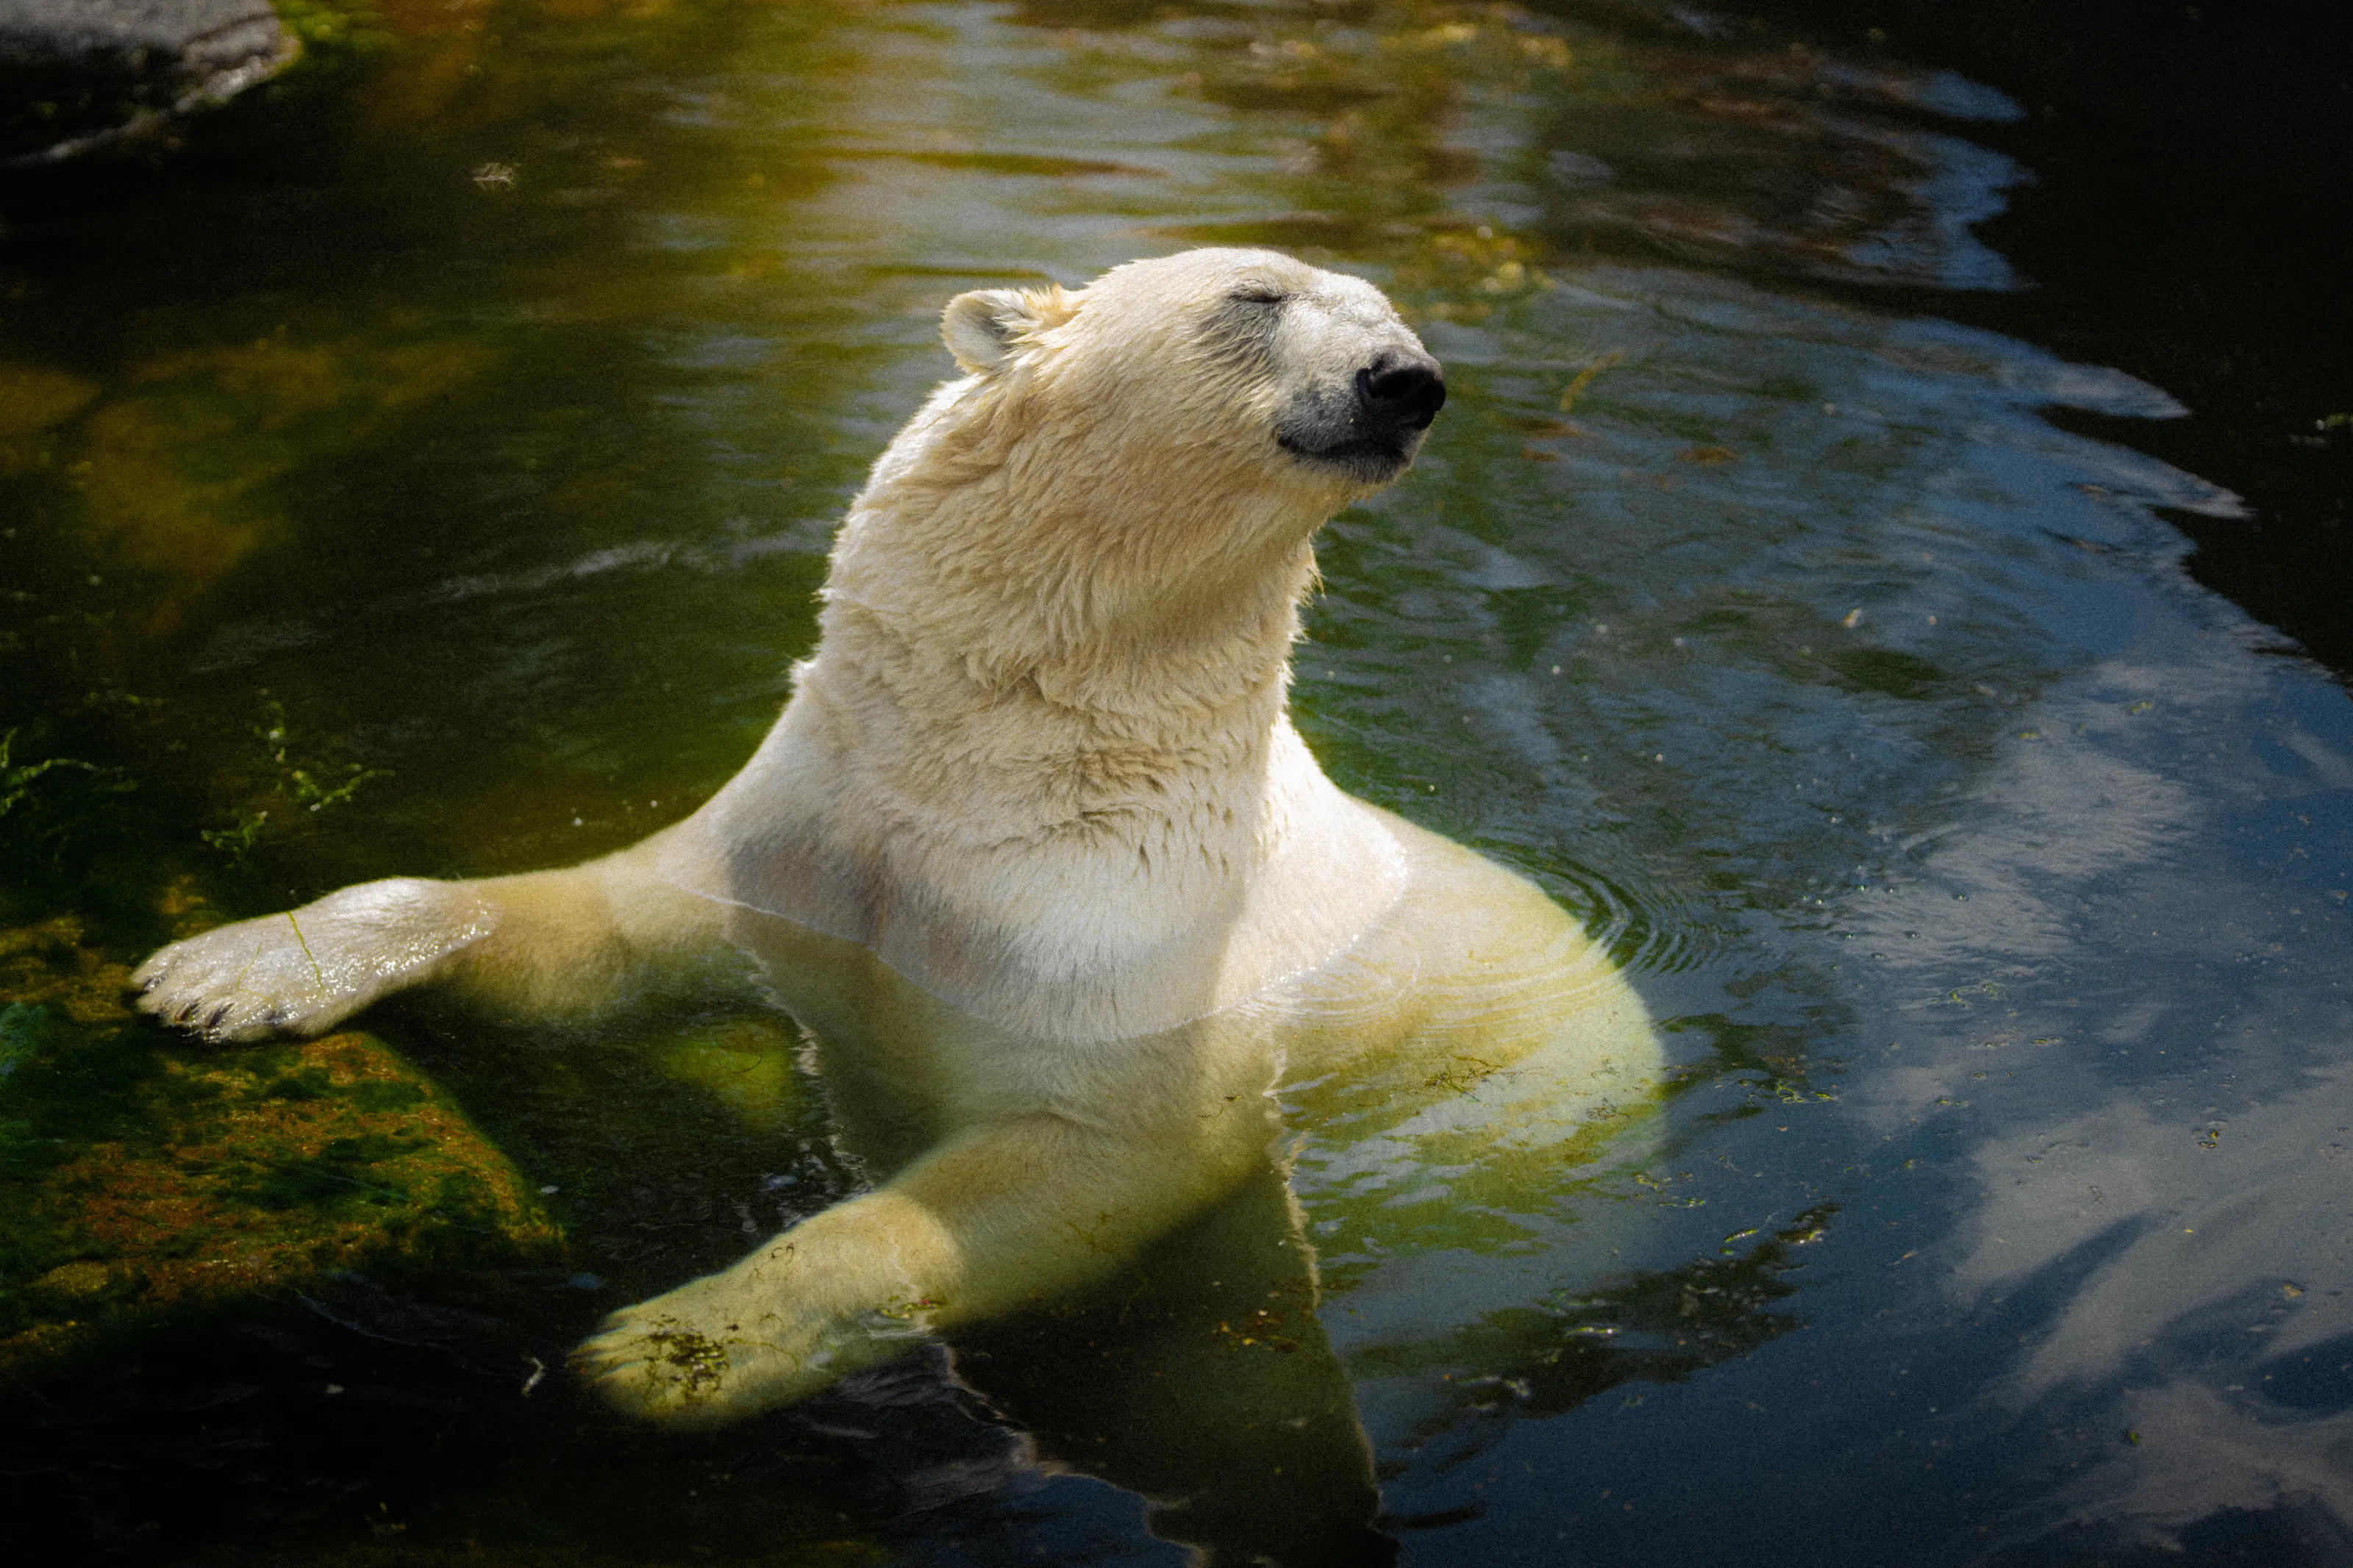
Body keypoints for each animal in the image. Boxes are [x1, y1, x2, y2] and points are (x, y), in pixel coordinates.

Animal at [133, 248, 1660, 1439]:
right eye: (1260, 295)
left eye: (1389, 312)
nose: (1409, 380)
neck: (995, 766)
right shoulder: (803, 834)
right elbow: (598, 928)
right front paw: (224, 972)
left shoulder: (1137, 955)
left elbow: (1079, 1160)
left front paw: (671, 1350)